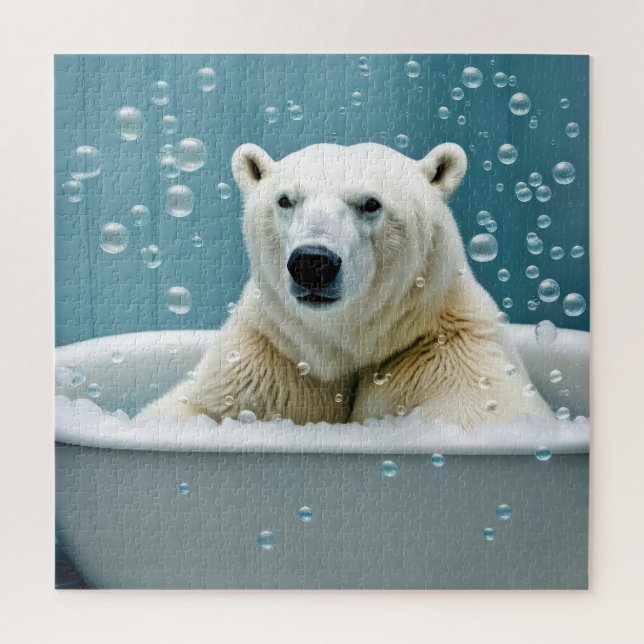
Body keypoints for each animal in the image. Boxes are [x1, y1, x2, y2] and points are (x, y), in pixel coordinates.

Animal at [140, 141, 552, 429]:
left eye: (371, 203)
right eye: (285, 199)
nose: (312, 263)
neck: (342, 344)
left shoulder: (445, 356)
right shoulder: (272, 354)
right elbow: (195, 408)